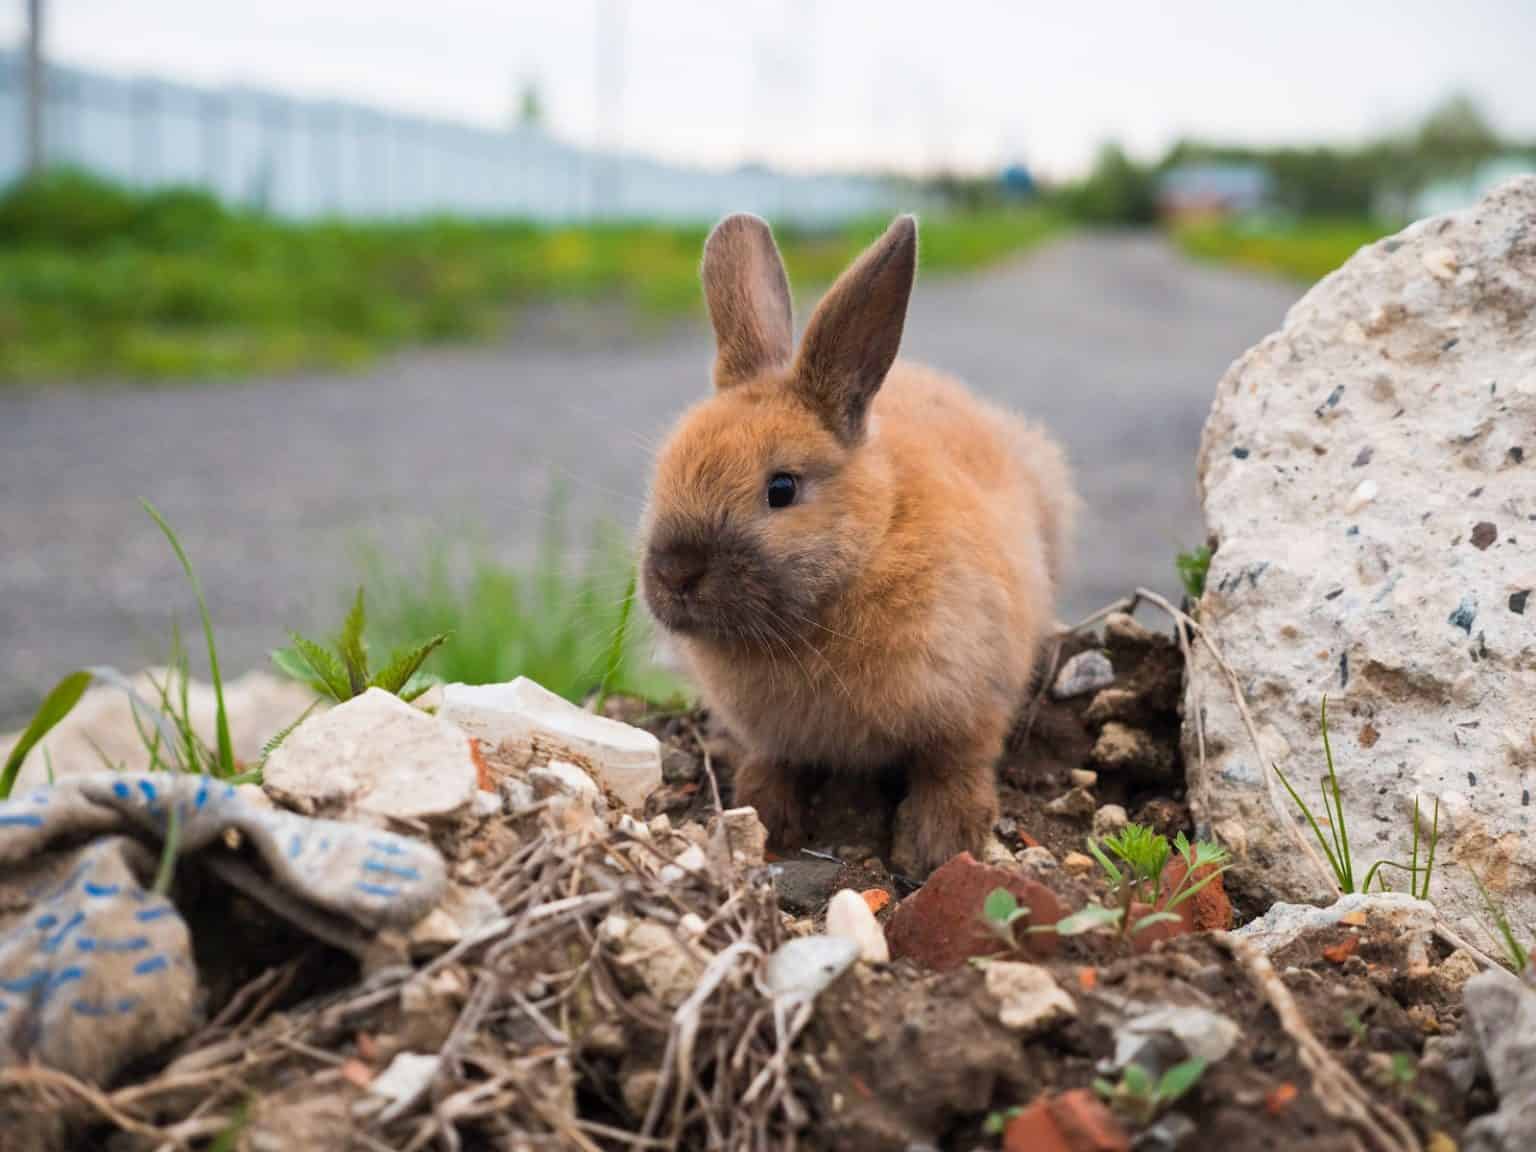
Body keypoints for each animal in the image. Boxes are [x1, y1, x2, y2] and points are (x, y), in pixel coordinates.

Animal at [639, 213, 1076, 876]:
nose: (674, 573)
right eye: (664, 472)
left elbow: (954, 765)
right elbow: (775, 761)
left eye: (782, 488)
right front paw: (765, 815)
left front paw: (937, 845)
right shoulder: (772, 735)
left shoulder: (974, 697)